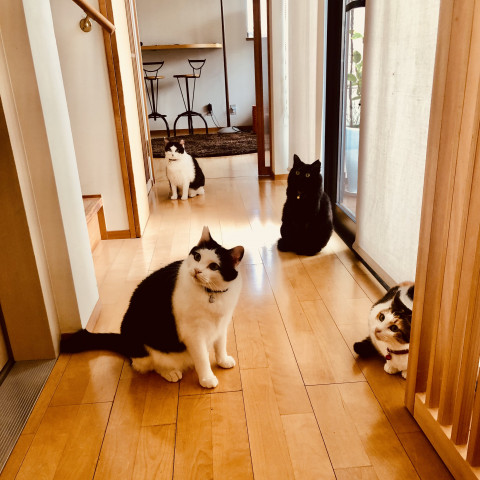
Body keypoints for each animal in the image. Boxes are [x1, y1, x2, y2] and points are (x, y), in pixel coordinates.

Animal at [61, 226, 244, 389]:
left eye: (214, 266)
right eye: (197, 256)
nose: (197, 270)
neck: (211, 294)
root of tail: (124, 340)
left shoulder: (221, 325)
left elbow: (220, 345)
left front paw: (223, 360)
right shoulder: (193, 334)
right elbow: (202, 358)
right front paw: (207, 378)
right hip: (143, 349)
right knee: (147, 365)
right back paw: (170, 372)